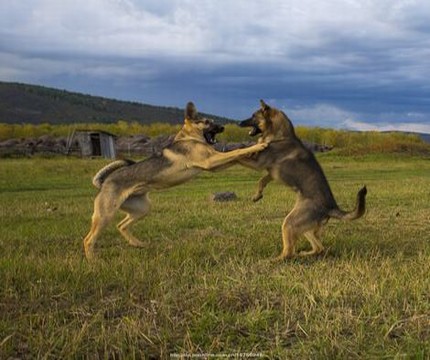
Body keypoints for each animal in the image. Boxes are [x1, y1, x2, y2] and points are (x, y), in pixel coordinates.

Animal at [82, 101, 268, 258]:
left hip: (142, 209)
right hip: (105, 215)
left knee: (121, 226)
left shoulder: (214, 163)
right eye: (207, 122)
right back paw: (94, 262)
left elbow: (236, 156)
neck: (189, 137)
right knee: (89, 239)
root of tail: (104, 182)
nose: (223, 127)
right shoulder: (211, 161)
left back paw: (138, 244)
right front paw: (258, 145)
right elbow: (235, 151)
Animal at [235, 100, 366, 260]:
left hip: (289, 223)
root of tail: (330, 207)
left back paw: (274, 259)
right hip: (306, 229)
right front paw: (257, 195)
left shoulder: (259, 163)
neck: (281, 136)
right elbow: (261, 181)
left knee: (288, 253)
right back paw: (304, 254)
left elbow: (239, 156)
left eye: (254, 115)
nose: (238, 122)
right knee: (319, 248)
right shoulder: (271, 173)